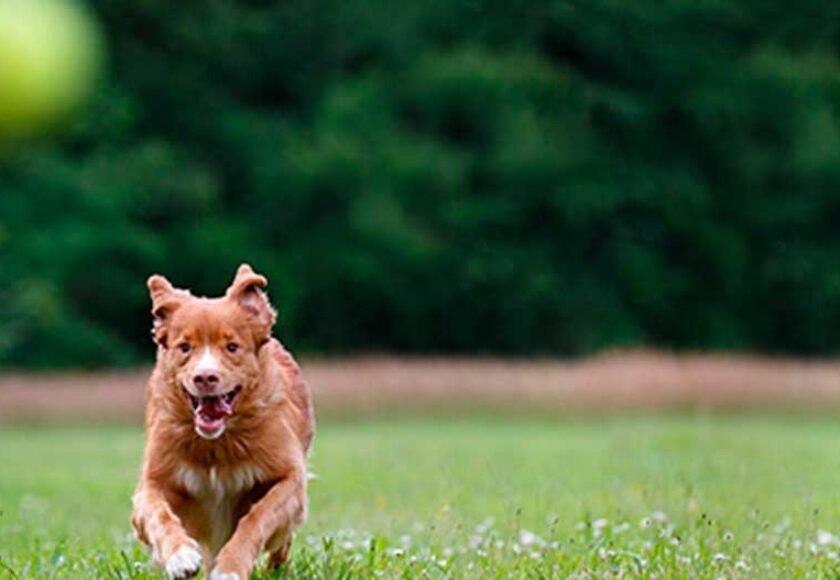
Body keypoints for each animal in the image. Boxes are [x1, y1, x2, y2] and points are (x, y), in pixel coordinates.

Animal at [131, 266, 316, 576]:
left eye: (231, 347)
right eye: (185, 347)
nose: (205, 377)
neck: (217, 444)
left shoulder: (290, 477)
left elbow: (257, 518)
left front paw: (231, 567)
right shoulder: (154, 479)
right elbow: (158, 514)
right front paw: (180, 555)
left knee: (282, 543)